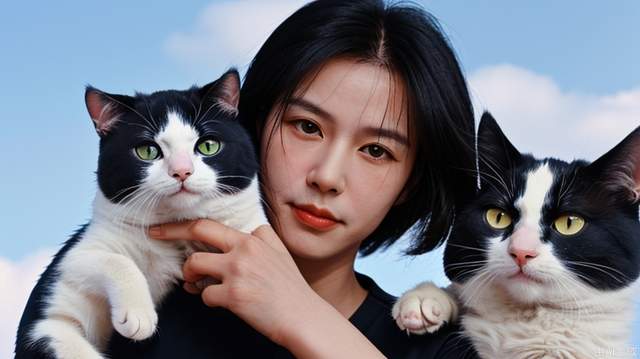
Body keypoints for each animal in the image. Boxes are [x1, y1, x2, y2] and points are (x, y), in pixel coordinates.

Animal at [16, 70, 268, 359]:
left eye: (208, 146)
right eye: (147, 151)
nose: (181, 171)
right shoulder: (70, 266)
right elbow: (115, 261)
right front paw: (138, 317)